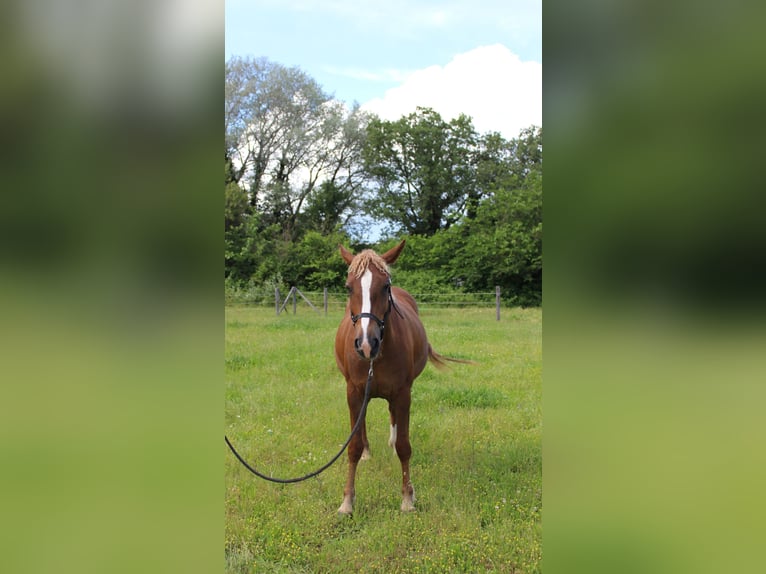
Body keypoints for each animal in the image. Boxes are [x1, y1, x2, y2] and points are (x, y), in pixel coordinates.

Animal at [334, 241, 462, 516]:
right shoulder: (354, 392)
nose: (366, 344)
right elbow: (353, 445)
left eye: (385, 286)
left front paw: (407, 498)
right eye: (349, 287)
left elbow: (404, 446)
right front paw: (347, 501)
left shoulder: (403, 393)